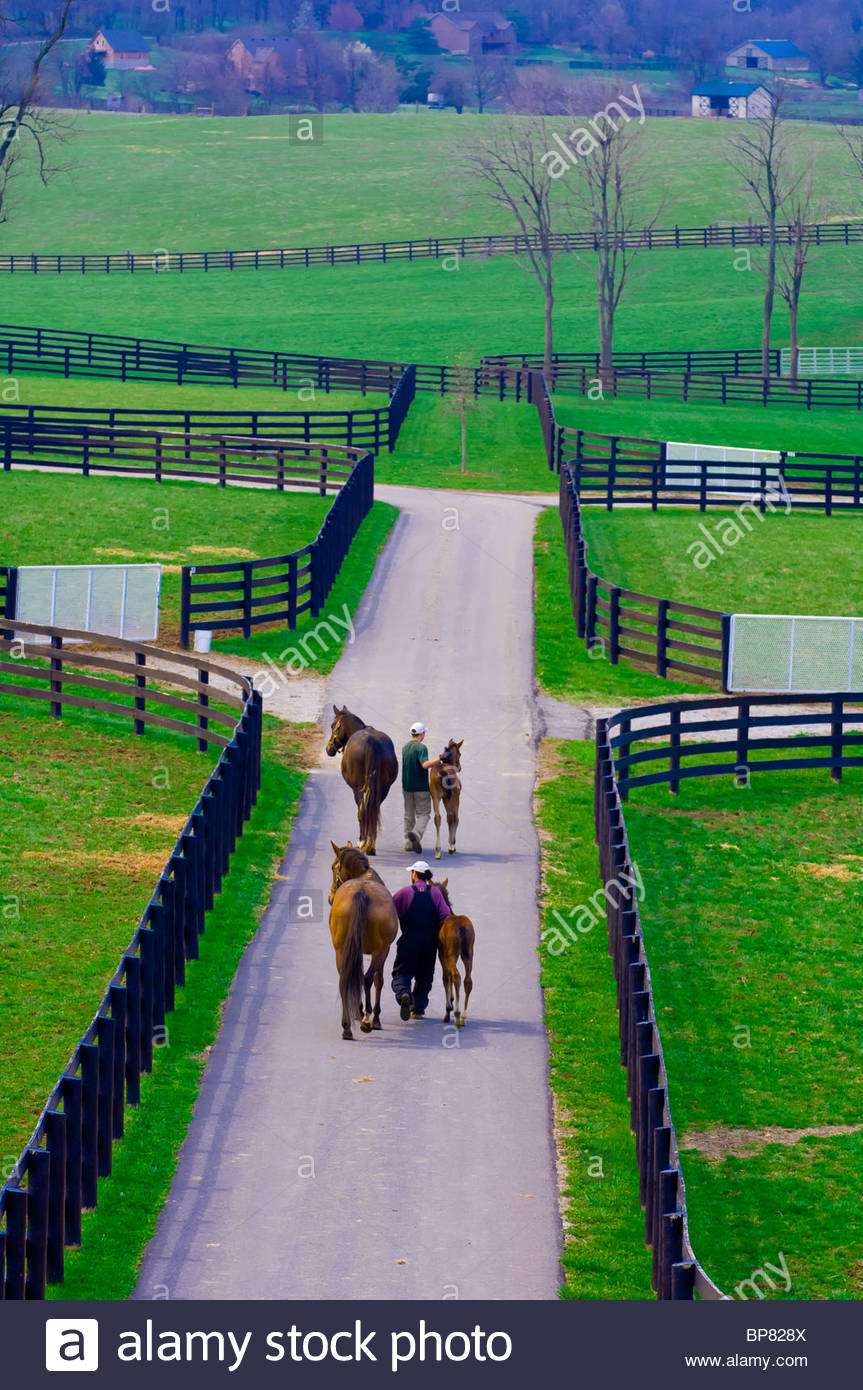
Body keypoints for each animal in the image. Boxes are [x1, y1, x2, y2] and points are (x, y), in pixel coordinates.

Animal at [326, 705, 398, 856]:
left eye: (333, 726)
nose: (329, 749)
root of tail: (372, 743)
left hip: (358, 789)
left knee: (363, 811)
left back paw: (363, 842)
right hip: (383, 790)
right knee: (372, 811)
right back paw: (370, 845)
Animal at [328, 841, 398, 1040]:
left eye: (333, 868)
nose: (330, 898)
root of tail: (361, 893)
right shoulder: (383, 951)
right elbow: (378, 981)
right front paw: (373, 1017)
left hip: (341, 949)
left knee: (345, 979)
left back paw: (347, 1027)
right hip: (380, 952)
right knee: (368, 978)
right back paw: (367, 1019)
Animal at [433, 877, 474, 1029]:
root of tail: (461, 928)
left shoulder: (442, 954)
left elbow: (446, 978)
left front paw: (448, 1008)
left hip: (451, 954)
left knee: (456, 976)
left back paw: (456, 1014)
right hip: (469, 953)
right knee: (468, 980)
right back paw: (463, 1017)